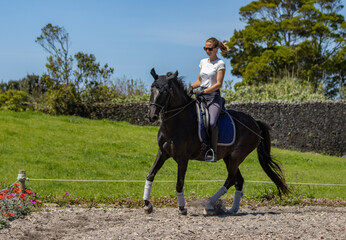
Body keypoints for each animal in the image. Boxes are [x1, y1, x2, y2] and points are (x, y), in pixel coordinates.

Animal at [143, 68, 290, 215]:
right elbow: (150, 175)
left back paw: (210, 204)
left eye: (165, 91)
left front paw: (182, 208)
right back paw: (233, 209)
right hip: (228, 157)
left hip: (237, 156)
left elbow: (179, 183)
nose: (152, 116)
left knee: (230, 179)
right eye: (152, 88)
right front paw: (147, 205)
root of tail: (255, 122)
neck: (177, 123)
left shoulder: (183, 158)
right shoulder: (162, 153)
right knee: (238, 180)